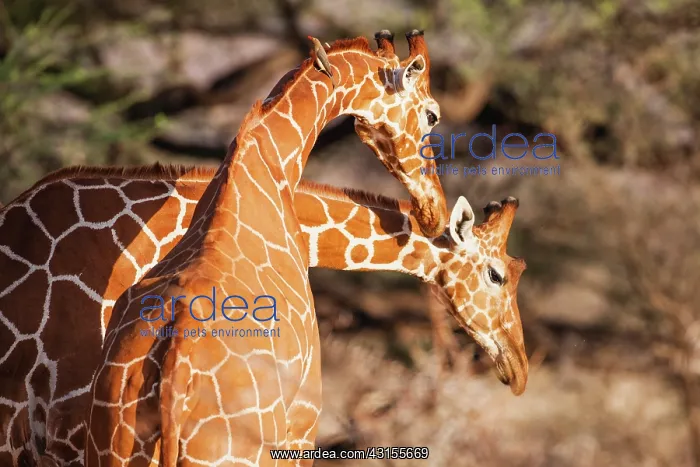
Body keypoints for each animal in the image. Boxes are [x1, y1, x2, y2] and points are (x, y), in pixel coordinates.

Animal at [81, 30, 451, 467]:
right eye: (432, 114)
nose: (434, 211)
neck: (270, 163)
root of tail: (174, 369)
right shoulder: (304, 418)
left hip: (112, 445)